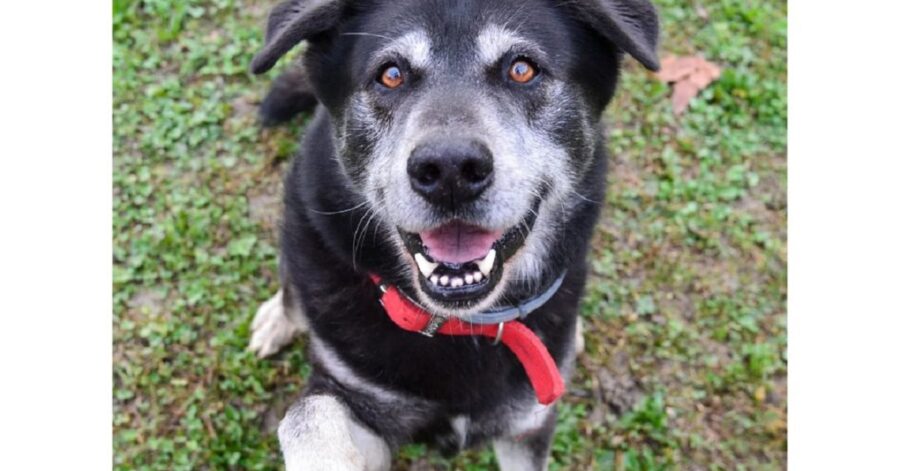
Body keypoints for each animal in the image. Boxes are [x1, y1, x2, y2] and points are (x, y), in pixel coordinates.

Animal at [248, 0, 660, 468]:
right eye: (391, 74)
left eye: (522, 69)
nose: (449, 170)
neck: (462, 325)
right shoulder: (360, 399)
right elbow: (308, 414)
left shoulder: (527, 425)